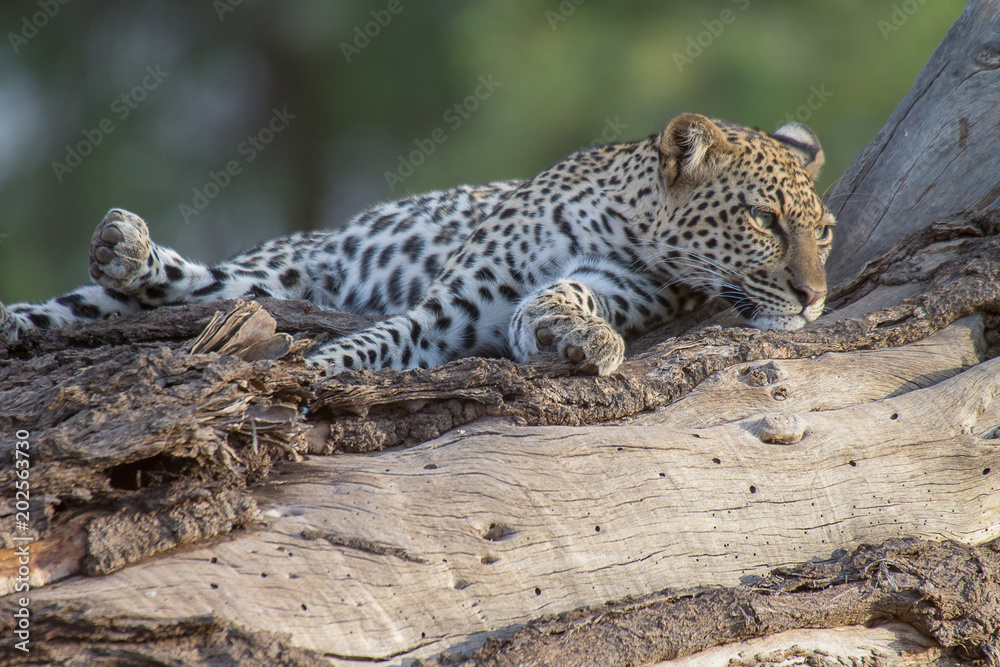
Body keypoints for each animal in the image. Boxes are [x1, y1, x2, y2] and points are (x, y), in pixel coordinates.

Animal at [0, 113, 835, 376]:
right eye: (765, 219)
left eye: (823, 233)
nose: (815, 298)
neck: (625, 225)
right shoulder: (442, 311)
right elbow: (351, 354)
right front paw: (303, 376)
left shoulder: (615, 288)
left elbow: (562, 298)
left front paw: (574, 332)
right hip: (282, 266)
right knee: (184, 283)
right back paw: (119, 249)